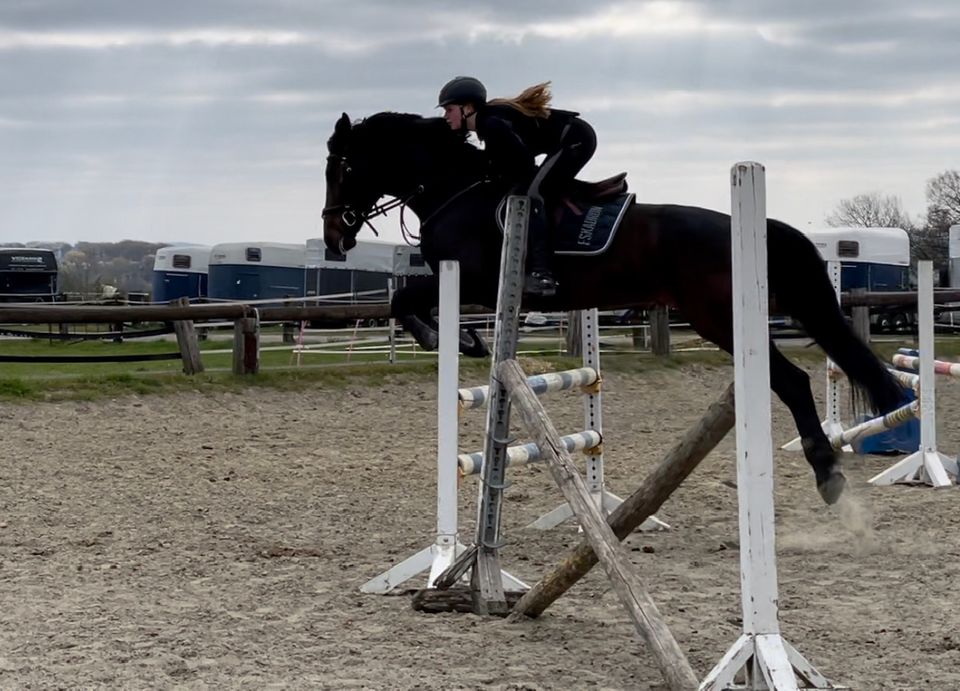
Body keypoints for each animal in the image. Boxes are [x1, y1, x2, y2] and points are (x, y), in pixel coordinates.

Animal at [324, 111, 908, 506]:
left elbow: (404, 298)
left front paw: (451, 339)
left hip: (717, 316)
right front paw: (465, 340)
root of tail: (758, 228)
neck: (456, 188)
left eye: (344, 165)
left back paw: (827, 472)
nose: (334, 237)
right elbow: (405, 300)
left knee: (789, 380)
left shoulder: (472, 278)